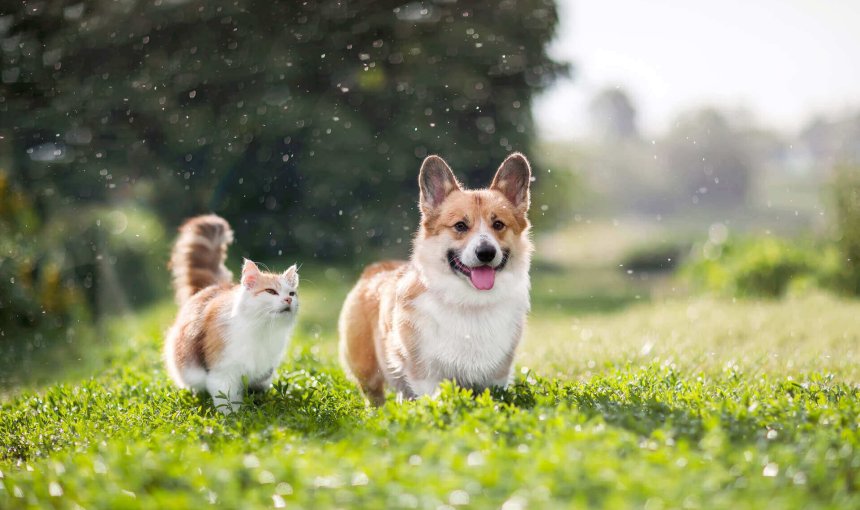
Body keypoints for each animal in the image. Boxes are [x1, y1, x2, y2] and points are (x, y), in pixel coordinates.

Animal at [164, 213, 298, 412]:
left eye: (291, 294)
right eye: (271, 292)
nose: (288, 300)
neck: (262, 329)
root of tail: (214, 286)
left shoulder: (264, 370)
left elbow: (257, 389)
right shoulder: (222, 371)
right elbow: (228, 400)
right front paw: (236, 416)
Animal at [338, 153, 532, 404]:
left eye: (498, 224)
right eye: (460, 226)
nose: (486, 252)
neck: (470, 302)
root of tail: (374, 268)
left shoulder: (497, 375)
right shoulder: (425, 373)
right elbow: (434, 400)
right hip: (368, 371)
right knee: (375, 397)